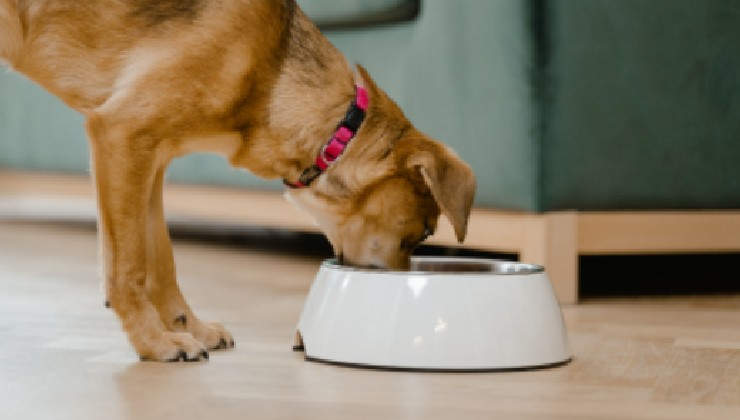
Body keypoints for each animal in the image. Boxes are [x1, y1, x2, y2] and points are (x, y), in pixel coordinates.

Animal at [0, 0, 476, 360]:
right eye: (425, 231)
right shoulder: (121, 133)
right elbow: (128, 265)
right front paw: (154, 342)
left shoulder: (151, 159)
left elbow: (161, 259)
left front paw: (187, 326)